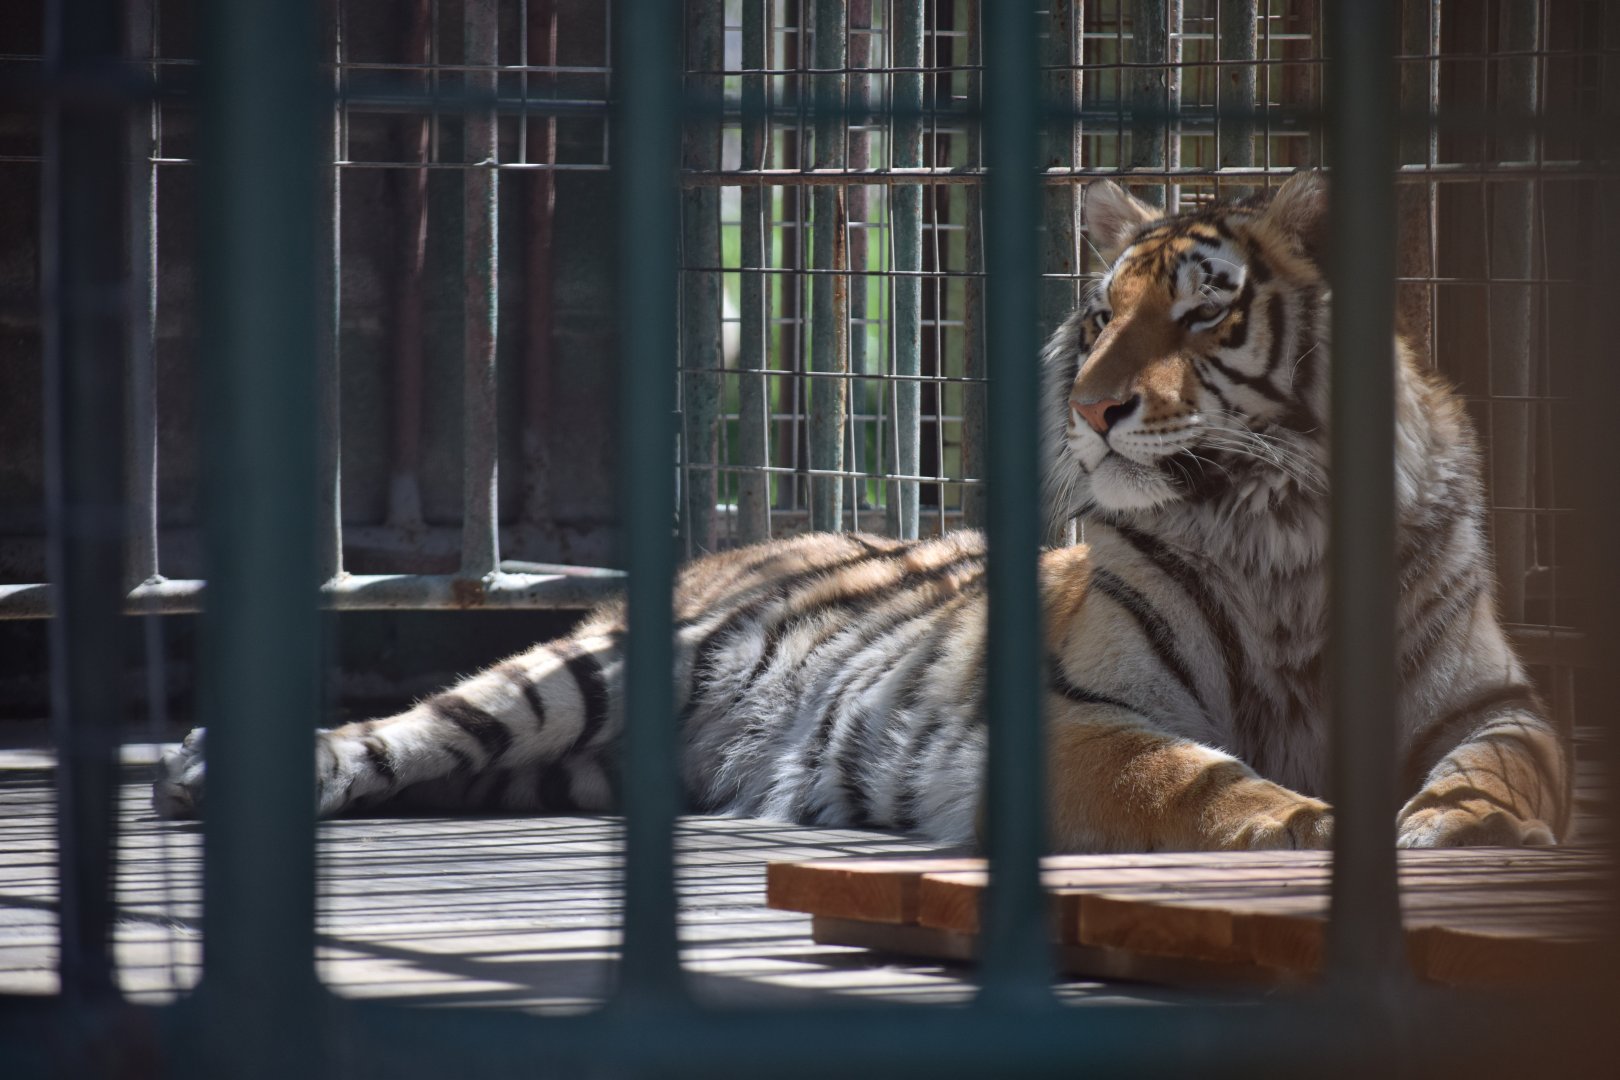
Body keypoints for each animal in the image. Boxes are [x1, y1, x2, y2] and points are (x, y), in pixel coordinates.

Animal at [153, 170, 1569, 851]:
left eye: (1203, 312)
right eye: (1101, 314)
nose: (1093, 407)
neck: (1271, 530)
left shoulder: (1485, 696)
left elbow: (1505, 760)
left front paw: (1464, 825)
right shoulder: (1077, 713)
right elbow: (1185, 775)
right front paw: (1305, 823)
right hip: (586, 672)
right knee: (409, 730)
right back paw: (207, 776)